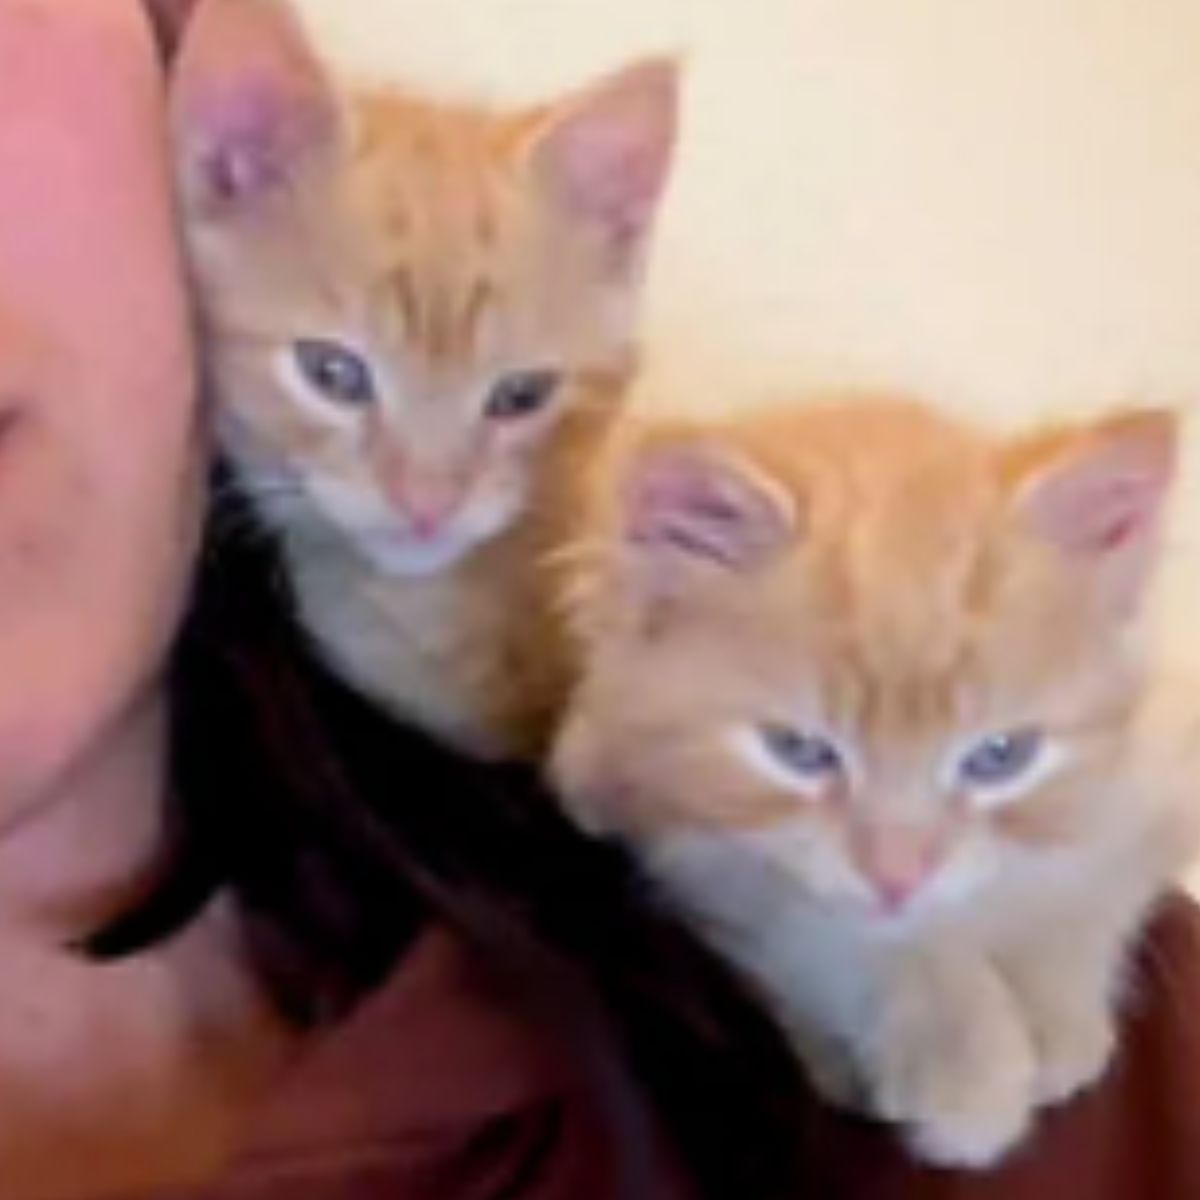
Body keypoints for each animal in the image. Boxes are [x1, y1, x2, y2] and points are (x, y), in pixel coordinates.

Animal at [549, 398, 1190, 1166]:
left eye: (1000, 756)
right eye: (799, 751)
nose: (897, 877)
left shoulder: (1152, 780)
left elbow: (1091, 895)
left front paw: (1059, 1012)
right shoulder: (708, 856)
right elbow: (846, 936)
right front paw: (968, 1069)